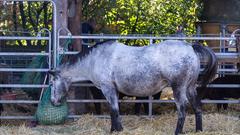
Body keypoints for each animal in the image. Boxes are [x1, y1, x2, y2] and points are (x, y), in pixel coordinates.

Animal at [48, 39, 218, 134]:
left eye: (52, 83)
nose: (53, 102)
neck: (95, 59)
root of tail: (190, 47)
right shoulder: (114, 91)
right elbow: (115, 111)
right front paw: (117, 129)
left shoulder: (108, 88)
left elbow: (113, 110)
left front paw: (114, 130)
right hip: (190, 88)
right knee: (197, 107)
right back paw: (198, 130)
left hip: (178, 88)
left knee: (182, 110)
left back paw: (177, 132)